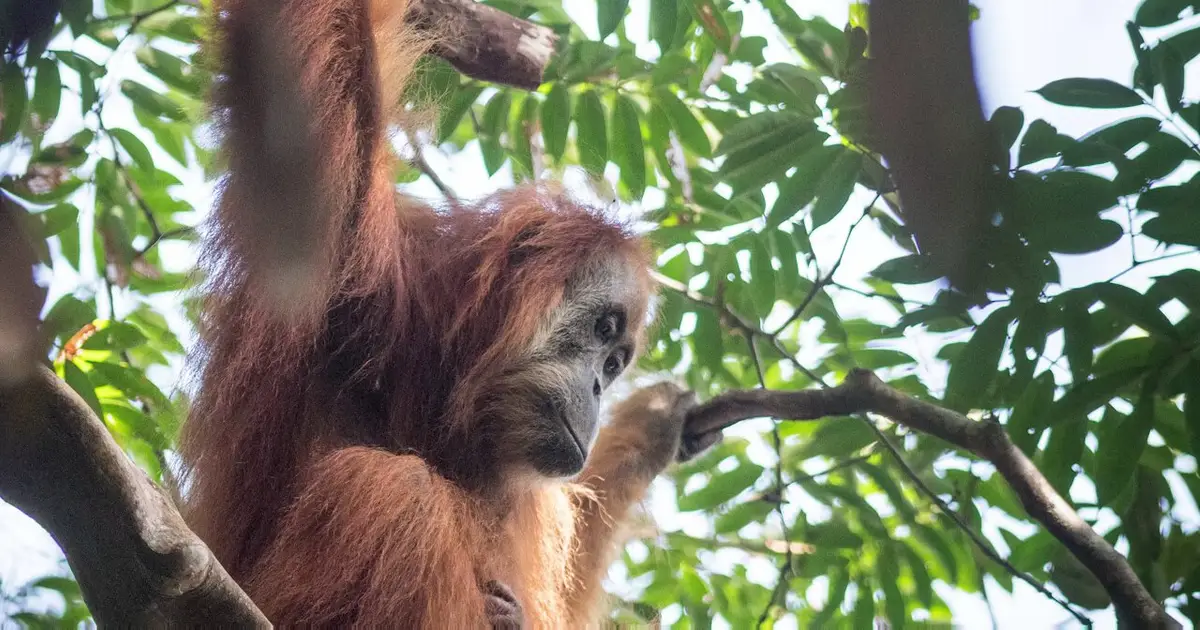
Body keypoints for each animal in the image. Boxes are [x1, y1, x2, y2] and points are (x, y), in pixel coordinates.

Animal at [178, 0, 720, 627]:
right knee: (397, 490)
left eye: (614, 365)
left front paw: (651, 425)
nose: (596, 389)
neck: (442, 394)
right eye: (603, 330)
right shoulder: (350, 271)